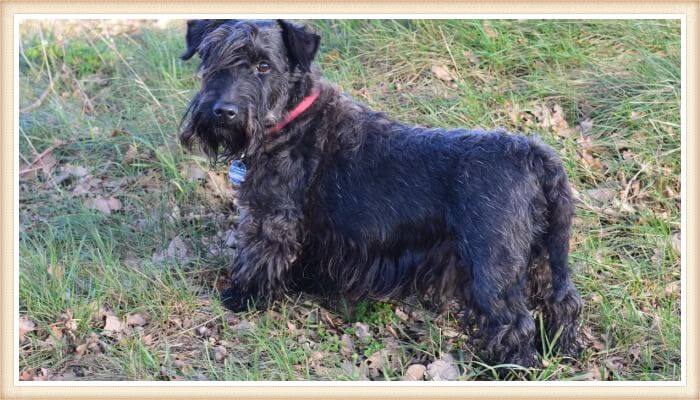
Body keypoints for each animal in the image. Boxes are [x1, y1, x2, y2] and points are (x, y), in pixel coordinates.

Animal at [179, 19, 580, 368]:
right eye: (211, 56)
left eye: (264, 65)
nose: (223, 112)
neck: (291, 117)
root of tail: (535, 155)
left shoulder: (271, 217)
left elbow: (257, 256)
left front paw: (241, 298)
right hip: (542, 256)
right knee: (562, 303)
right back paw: (564, 351)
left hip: (492, 267)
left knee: (514, 323)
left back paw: (509, 369)